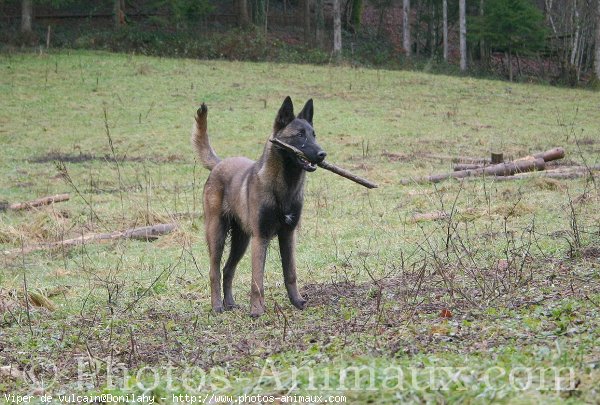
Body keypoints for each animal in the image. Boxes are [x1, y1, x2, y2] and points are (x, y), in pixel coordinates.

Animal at [191, 97, 326, 316]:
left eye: (314, 134)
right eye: (299, 135)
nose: (323, 154)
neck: (283, 187)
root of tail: (219, 163)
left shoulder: (288, 235)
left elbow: (291, 273)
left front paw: (297, 301)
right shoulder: (260, 237)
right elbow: (257, 280)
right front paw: (256, 310)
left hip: (241, 240)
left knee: (228, 269)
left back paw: (230, 303)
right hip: (217, 234)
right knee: (214, 271)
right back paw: (217, 306)